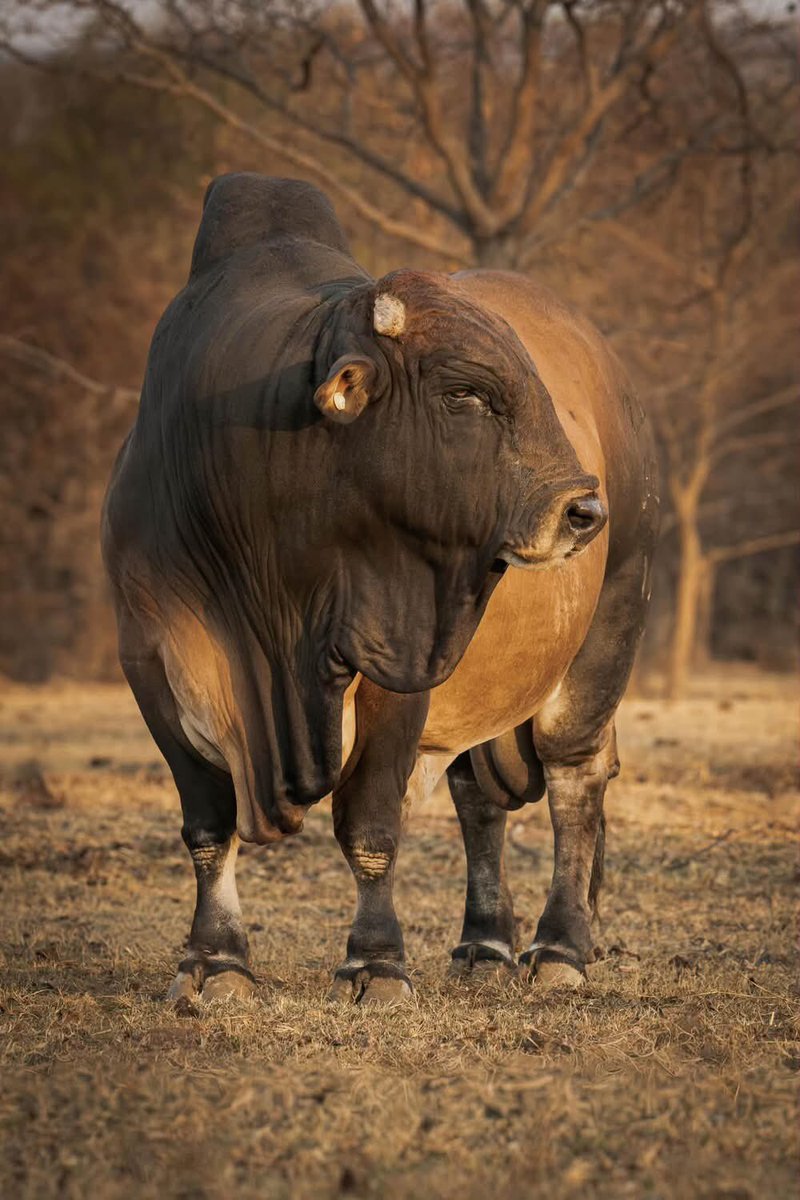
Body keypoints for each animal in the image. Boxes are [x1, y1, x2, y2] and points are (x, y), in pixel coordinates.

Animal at [102, 173, 658, 1006]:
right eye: (465, 392)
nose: (584, 510)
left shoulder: (398, 657)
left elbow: (368, 824)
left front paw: (377, 962)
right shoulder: (153, 662)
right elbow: (207, 826)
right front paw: (213, 960)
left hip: (609, 628)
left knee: (575, 779)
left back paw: (560, 946)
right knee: (477, 797)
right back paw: (484, 943)